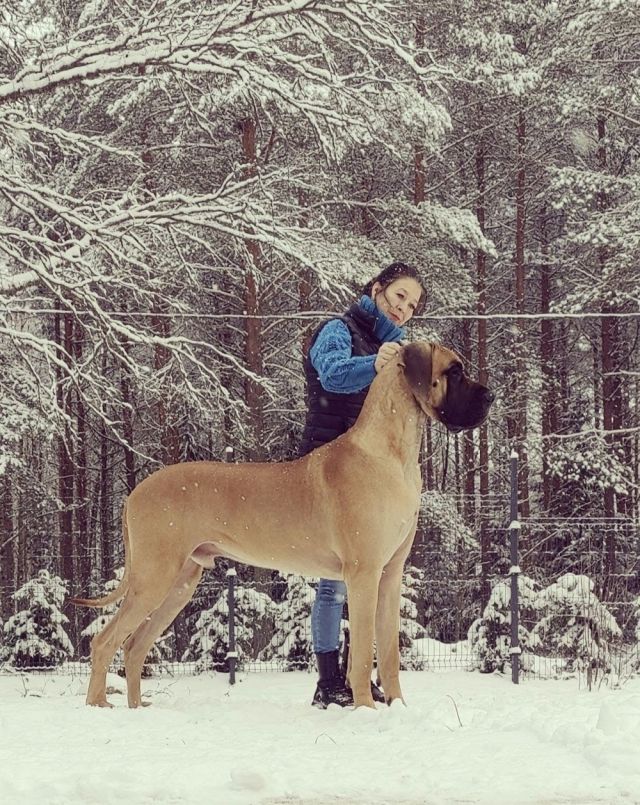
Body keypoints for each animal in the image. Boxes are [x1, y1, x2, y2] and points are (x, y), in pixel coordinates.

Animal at [72, 341, 494, 708]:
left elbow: (388, 655)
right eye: (454, 371)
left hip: (179, 583)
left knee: (134, 647)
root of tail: (134, 493)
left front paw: (398, 708)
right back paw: (99, 706)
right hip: (154, 576)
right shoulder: (364, 575)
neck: (393, 454)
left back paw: (137, 709)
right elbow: (360, 657)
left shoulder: (390, 576)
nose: (490, 397)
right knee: (105, 642)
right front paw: (365, 709)